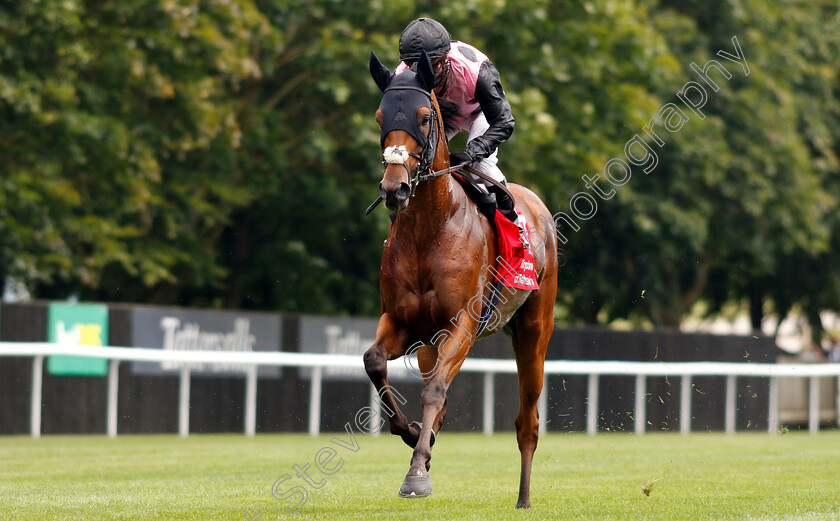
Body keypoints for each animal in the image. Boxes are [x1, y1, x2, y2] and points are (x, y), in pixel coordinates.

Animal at [362, 49, 556, 508]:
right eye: (380, 116)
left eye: (423, 117)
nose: (394, 189)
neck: (429, 228)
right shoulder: (403, 323)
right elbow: (374, 362)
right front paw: (414, 434)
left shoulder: (462, 324)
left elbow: (434, 393)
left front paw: (416, 473)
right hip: (429, 345)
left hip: (534, 330)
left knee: (527, 420)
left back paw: (523, 498)